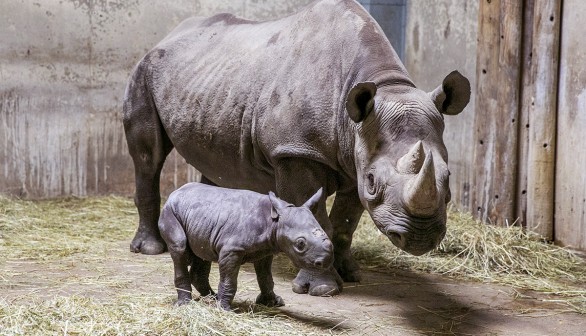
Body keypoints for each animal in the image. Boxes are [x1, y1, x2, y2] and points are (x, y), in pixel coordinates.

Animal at [121, 0, 468, 296]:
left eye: (449, 177)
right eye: (372, 181)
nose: (421, 237)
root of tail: (169, 35)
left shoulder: (355, 156)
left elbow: (345, 222)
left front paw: (351, 274)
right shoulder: (294, 152)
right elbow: (317, 217)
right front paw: (323, 288)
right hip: (144, 71)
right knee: (148, 157)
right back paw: (150, 249)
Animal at [159, 182, 334, 312]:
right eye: (300, 244)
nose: (325, 261)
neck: (275, 221)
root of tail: (174, 193)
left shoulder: (265, 251)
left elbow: (266, 278)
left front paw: (272, 302)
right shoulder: (231, 250)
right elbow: (229, 280)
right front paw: (225, 310)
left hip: (200, 218)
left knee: (202, 253)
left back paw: (211, 298)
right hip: (169, 211)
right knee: (180, 247)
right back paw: (185, 305)